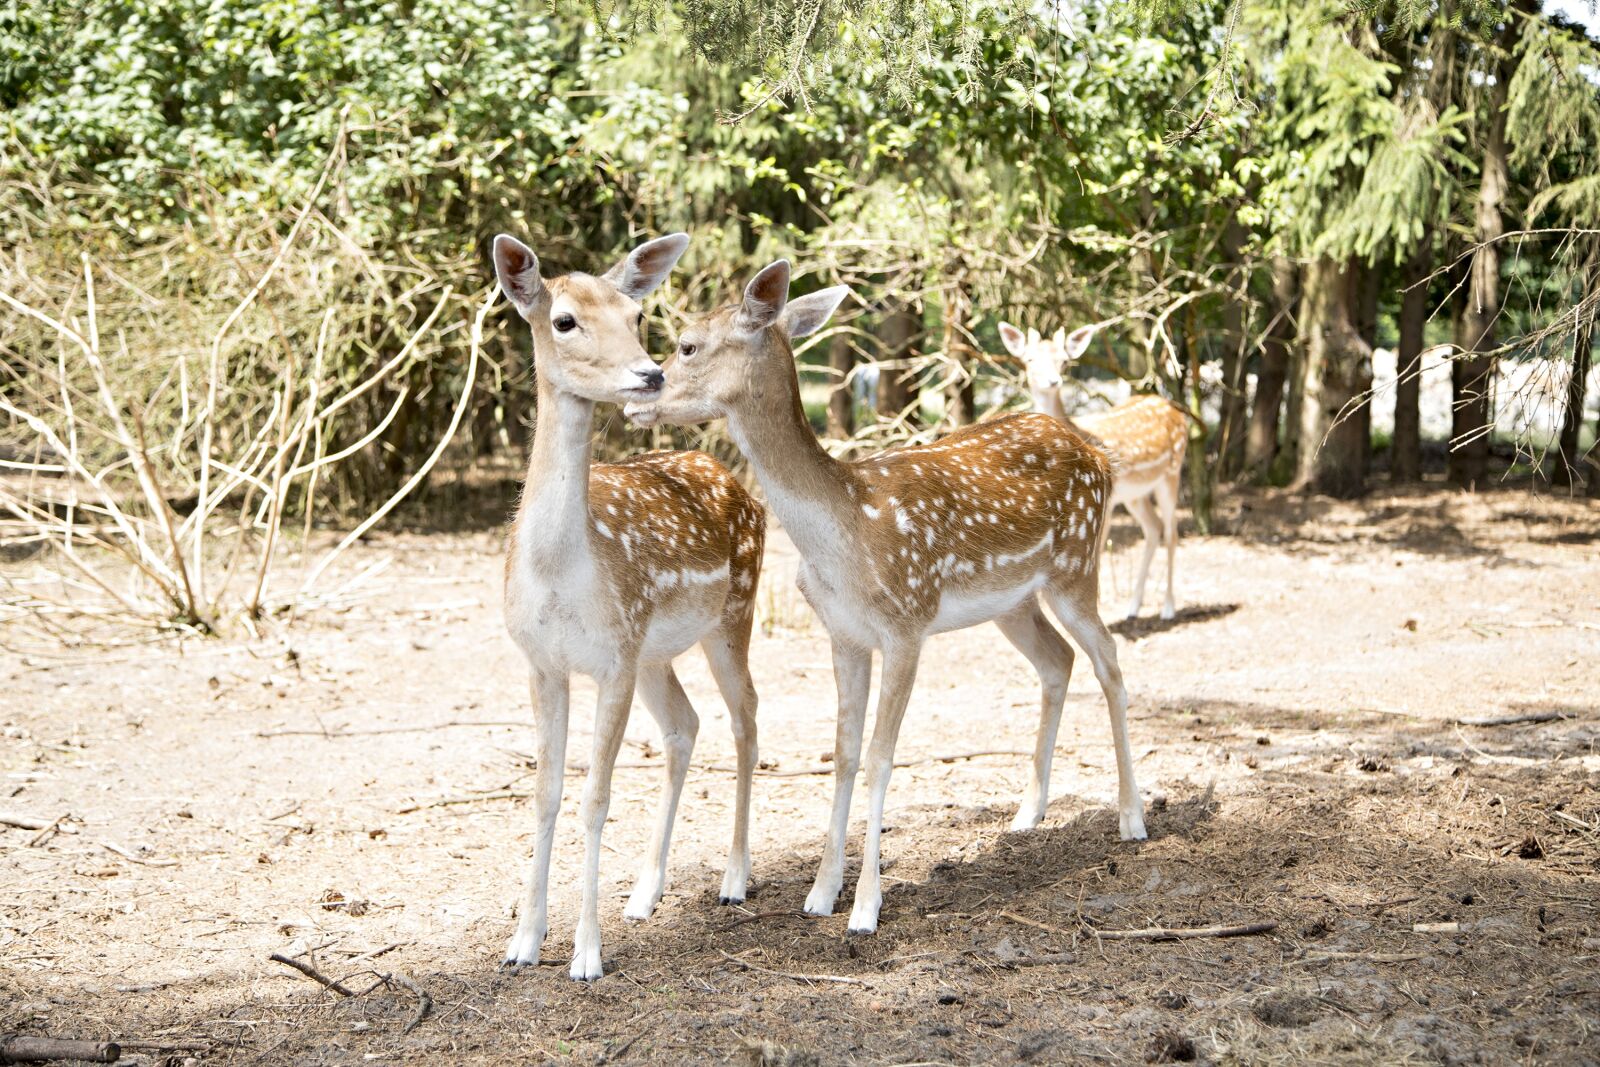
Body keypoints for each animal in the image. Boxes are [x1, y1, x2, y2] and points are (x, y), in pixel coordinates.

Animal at [491, 231, 765, 981]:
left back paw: (734, 878)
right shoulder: (542, 662)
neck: (561, 573)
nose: (649, 375)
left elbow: (595, 796)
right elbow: (546, 792)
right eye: (564, 319)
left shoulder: (611, 660)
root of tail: (735, 479)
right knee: (685, 725)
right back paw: (645, 892)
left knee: (746, 716)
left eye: (636, 315)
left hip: (733, 613)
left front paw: (586, 953)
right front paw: (523, 941)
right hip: (654, 652)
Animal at [625, 261, 1146, 936]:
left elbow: (879, 757)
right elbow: (844, 753)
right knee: (1059, 661)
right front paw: (822, 893)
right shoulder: (844, 633)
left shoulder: (906, 625)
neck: (846, 534)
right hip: (1013, 603)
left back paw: (1132, 818)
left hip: (1077, 566)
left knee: (1110, 660)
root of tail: (1097, 453)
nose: (637, 395)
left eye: (687, 345)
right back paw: (1027, 814)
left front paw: (866, 908)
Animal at [1001, 323, 1187, 622]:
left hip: (1172, 472)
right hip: (1136, 494)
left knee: (1171, 532)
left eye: (1064, 361)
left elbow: (1096, 551)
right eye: (1029, 359)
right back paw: (1133, 607)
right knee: (1153, 527)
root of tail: (1176, 410)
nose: (1053, 381)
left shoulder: (1104, 502)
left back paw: (1168, 608)